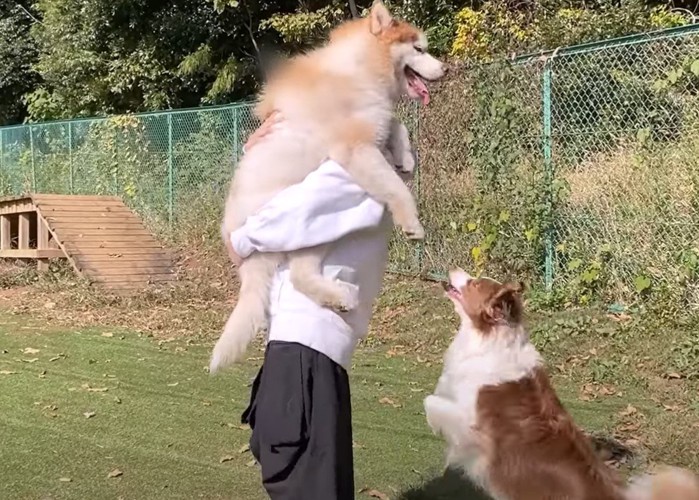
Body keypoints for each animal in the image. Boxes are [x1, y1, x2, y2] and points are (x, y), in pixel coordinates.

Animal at [211, 2, 446, 372]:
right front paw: (411, 222)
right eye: (419, 49)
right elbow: (396, 187)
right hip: (310, 227)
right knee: (299, 276)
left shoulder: (374, 126)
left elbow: (397, 124)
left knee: (301, 275)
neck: (360, 70)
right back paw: (339, 297)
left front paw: (405, 154)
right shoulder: (356, 150)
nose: (446, 68)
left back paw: (337, 299)